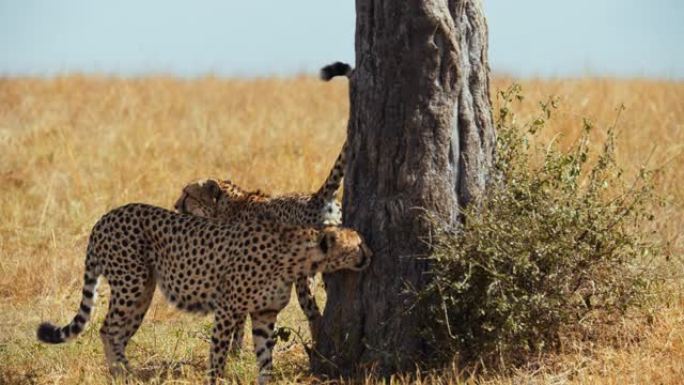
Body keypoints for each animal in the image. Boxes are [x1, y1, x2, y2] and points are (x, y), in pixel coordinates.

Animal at [34, 202, 372, 382]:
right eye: (358, 243)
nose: (371, 254)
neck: (296, 258)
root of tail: (105, 217)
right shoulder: (227, 310)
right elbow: (218, 356)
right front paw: (216, 380)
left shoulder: (264, 315)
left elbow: (265, 358)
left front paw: (266, 380)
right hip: (132, 284)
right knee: (107, 329)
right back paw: (123, 376)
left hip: (143, 293)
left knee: (117, 333)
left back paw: (127, 373)